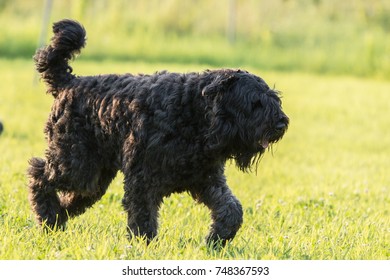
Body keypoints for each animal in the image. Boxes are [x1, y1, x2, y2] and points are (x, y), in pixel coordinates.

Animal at [29, 19, 288, 246]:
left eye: (274, 99)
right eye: (254, 103)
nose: (281, 124)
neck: (193, 115)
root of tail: (68, 83)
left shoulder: (207, 178)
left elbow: (231, 208)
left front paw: (217, 238)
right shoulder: (142, 178)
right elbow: (143, 215)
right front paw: (144, 244)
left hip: (93, 177)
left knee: (72, 196)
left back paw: (57, 218)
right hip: (74, 164)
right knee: (38, 174)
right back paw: (48, 217)